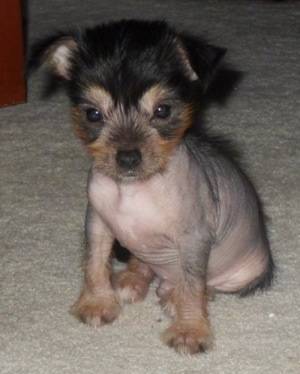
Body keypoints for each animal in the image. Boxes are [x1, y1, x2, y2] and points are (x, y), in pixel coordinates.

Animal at [28, 19, 274, 354]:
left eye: (162, 111)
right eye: (92, 114)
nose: (128, 157)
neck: (134, 189)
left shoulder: (194, 240)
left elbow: (193, 284)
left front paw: (189, 329)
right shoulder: (97, 223)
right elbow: (94, 263)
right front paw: (96, 302)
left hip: (244, 272)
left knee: (200, 283)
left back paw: (173, 295)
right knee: (143, 261)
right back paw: (133, 278)